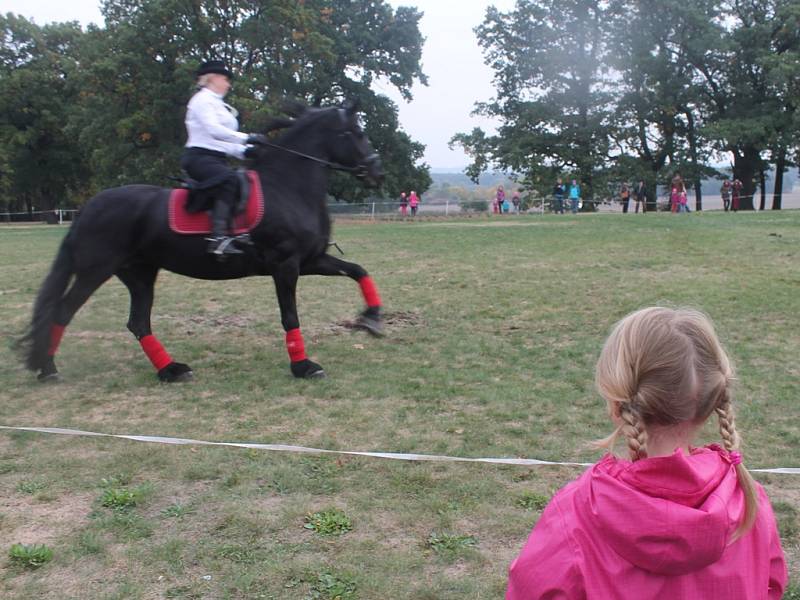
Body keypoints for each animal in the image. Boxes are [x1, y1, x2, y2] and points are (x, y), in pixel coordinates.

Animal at [16, 101, 384, 382]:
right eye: (356, 133)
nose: (376, 172)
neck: (288, 187)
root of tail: (90, 206)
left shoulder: (310, 260)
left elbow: (359, 270)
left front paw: (372, 318)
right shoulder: (286, 266)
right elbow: (290, 317)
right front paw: (304, 366)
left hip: (139, 273)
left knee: (138, 322)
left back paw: (171, 370)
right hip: (95, 271)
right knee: (63, 312)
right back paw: (48, 369)